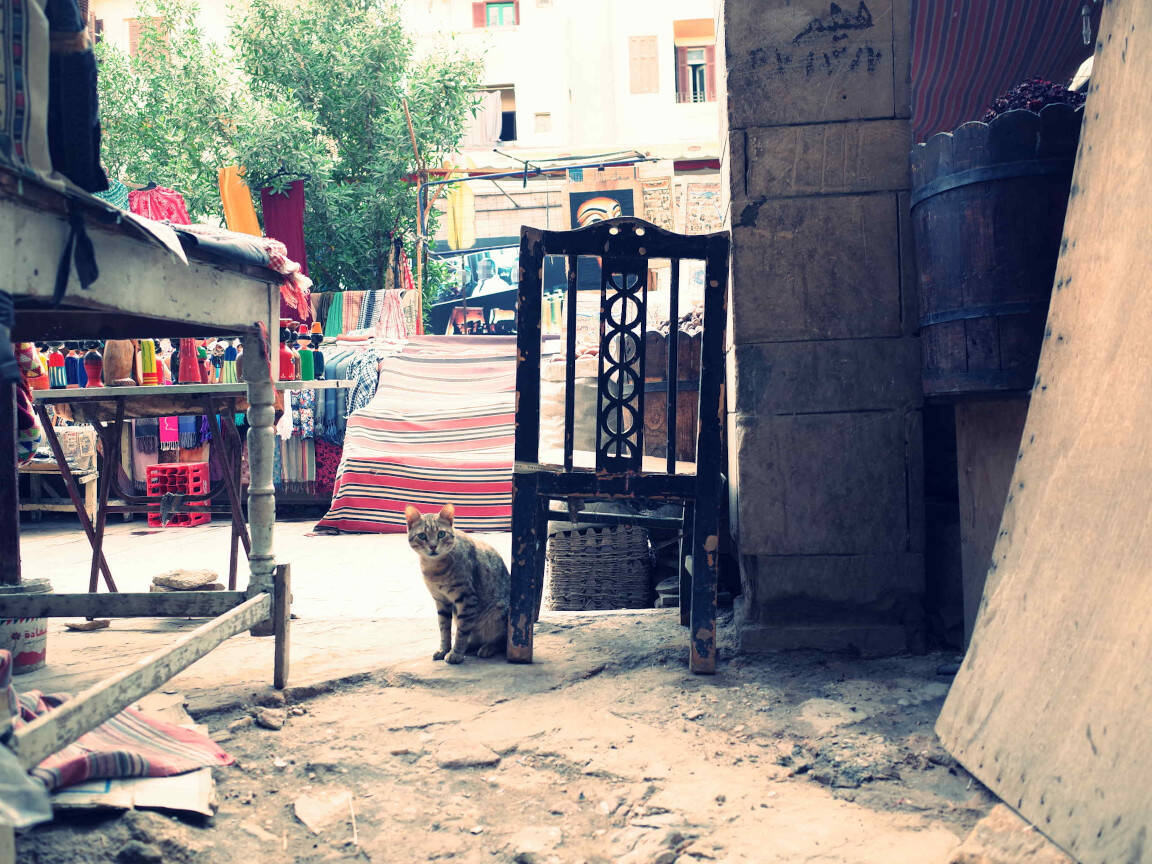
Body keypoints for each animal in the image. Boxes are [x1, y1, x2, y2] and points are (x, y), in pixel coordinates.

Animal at [407, 504, 511, 668]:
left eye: (441, 534)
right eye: (422, 536)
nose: (433, 546)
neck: (434, 568)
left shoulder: (466, 599)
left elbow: (461, 631)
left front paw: (455, 653)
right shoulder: (441, 601)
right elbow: (444, 629)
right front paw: (444, 649)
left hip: (500, 612)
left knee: (502, 641)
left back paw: (488, 647)